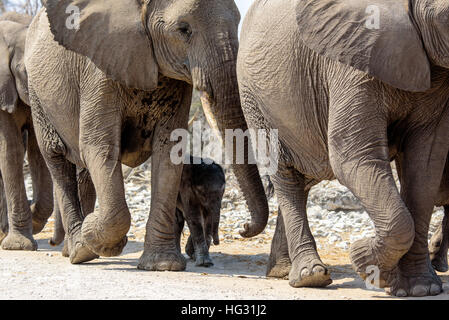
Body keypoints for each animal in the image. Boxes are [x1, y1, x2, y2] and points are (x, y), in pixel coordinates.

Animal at [24, 1, 268, 268]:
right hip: (37, 94)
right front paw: (102, 240)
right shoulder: (99, 69)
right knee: (57, 160)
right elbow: (100, 145)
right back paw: (80, 251)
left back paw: (78, 248)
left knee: (83, 172)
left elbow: (169, 149)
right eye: (183, 30)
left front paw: (163, 265)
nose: (244, 228)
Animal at [238, 0, 449, 298]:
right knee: (286, 174)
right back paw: (310, 276)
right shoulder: (354, 59)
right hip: (255, 102)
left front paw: (422, 288)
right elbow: (354, 157)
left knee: (303, 181)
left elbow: (426, 166)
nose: (243, 228)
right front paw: (365, 261)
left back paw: (283, 272)